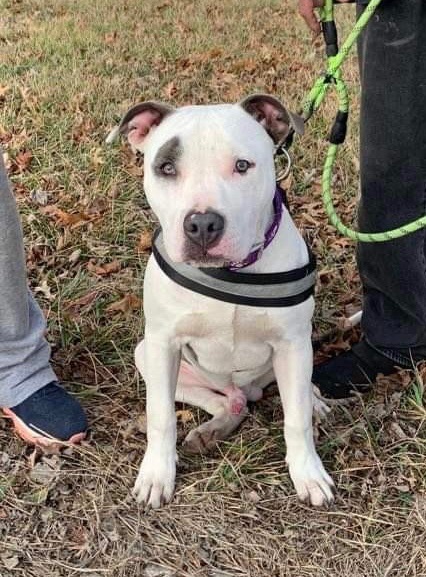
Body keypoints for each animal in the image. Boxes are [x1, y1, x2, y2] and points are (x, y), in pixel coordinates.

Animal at [113, 94, 336, 508]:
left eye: (242, 166)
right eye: (166, 168)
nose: (202, 224)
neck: (231, 272)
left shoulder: (292, 343)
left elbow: (295, 419)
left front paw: (308, 473)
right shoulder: (163, 344)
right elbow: (161, 417)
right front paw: (156, 475)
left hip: (296, 355)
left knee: (293, 392)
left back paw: (313, 402)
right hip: (147, 355)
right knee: (226, 402)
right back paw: (213, 429)